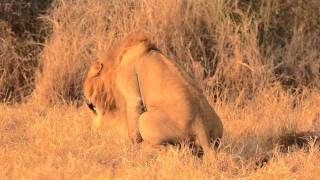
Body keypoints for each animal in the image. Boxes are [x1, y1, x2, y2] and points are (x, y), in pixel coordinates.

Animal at [83, 33, 222, 154]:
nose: (87, 103)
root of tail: (200, 126)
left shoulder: (130, 87)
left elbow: (133, 114)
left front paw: (134, 146)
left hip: (145, 119)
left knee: (167, 148)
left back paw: (145, 148)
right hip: (218, 130)